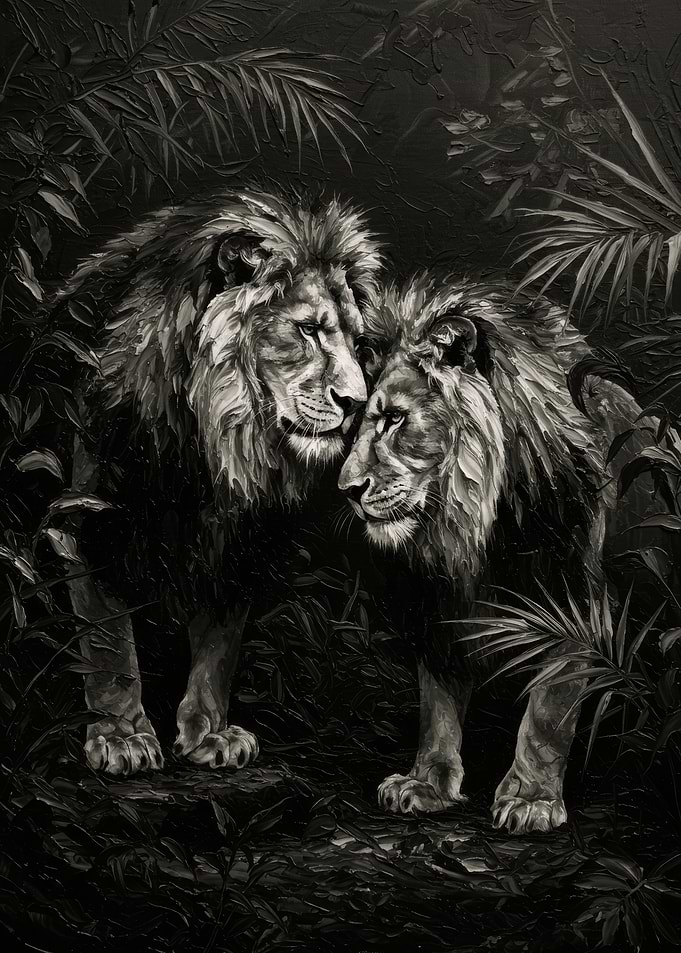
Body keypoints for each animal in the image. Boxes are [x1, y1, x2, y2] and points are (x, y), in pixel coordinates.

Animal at [58, 187, 382, 777]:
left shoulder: (239, 539)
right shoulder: (88, 518)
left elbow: (219, 646)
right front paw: (121, 738)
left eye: (359, 343)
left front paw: (208, 734)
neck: (208, 444)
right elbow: (108, 642)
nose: (356, 404)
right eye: (307, 329)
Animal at [338, 273, 657, 834]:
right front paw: (426, 783)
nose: (348, 490)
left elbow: (549, 711)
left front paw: (531, 798)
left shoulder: (573, 600)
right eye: (357, 424)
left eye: (395, 419)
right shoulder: (442, 606)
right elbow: (438, 704)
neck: (474, 525)